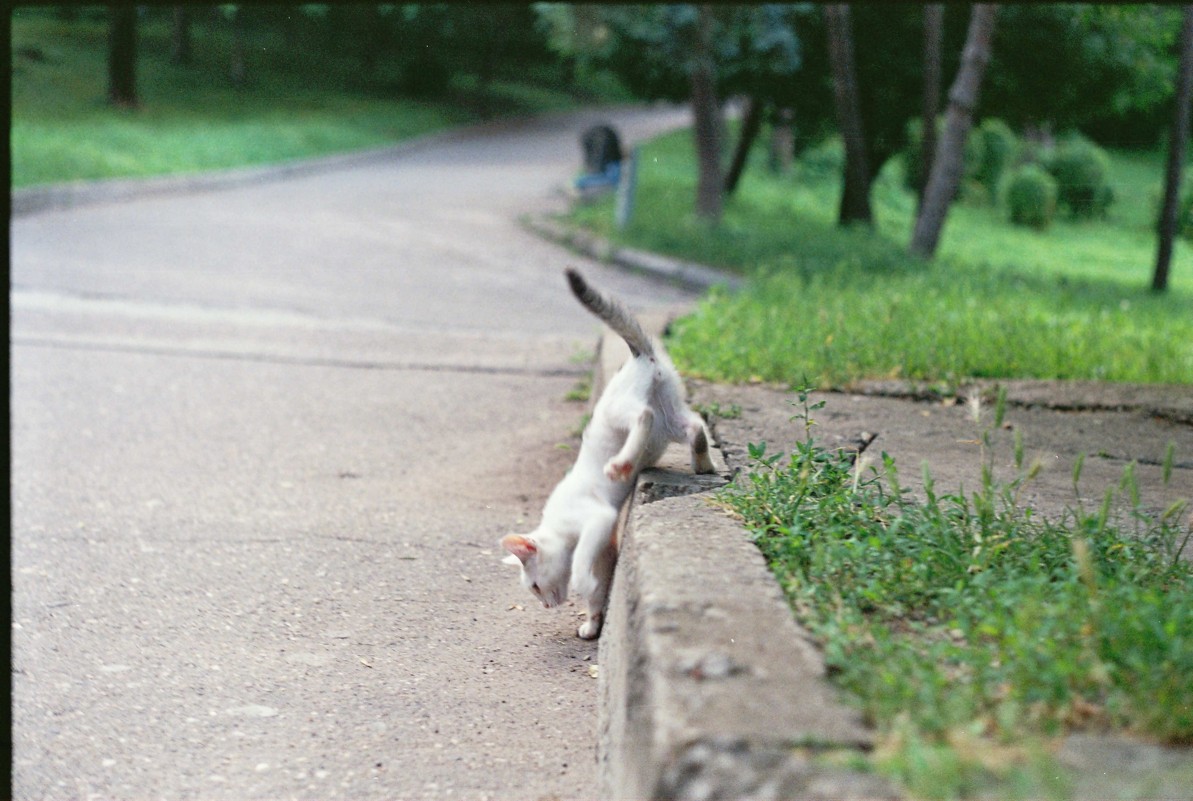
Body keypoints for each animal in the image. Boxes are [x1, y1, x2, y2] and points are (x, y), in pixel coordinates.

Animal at [498, 267, 711, 639]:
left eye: (535, 587)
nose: (546, 606)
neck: (558, 527)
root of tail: (640, 356)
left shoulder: (599, 520)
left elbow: (582, 563)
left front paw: (582, 584)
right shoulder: (607, 545)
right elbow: (599, 586)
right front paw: (592, 621)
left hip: (618, 410)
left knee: (643, 415)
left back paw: (622, 463)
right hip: (671, 415)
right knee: (695, 426)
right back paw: (703, 463)